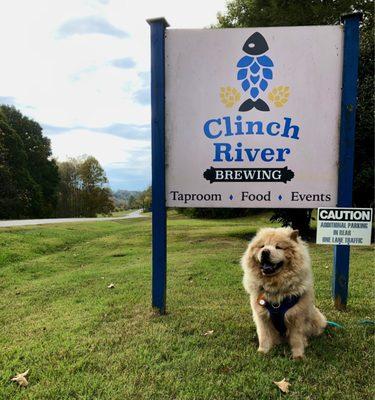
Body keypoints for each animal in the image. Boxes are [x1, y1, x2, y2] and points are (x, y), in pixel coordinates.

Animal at [242, 225, 328, 360]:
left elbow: (297, 339)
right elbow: (264, 336)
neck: (275, 289)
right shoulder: (261, 316)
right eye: (262, 246)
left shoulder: (296, 317)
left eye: (278, 247)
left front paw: (298, 356)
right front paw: (263, 352)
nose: (265, 252)